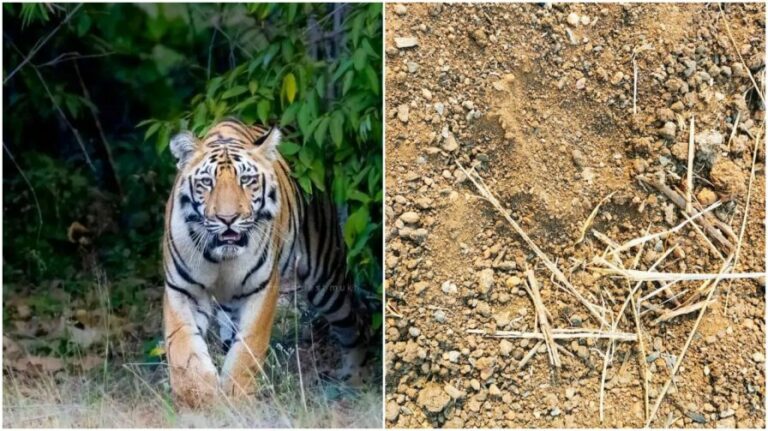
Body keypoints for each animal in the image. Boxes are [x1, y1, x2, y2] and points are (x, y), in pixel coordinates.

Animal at [162, 118, 370, 406]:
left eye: (246, 180)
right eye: (206, 182)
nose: (228, 218)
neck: (221, 258)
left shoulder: (261, 289)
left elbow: (247, 349)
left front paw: (238, 398)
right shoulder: (181, 290)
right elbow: (183, 348)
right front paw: (199, 398)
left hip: (326, 280)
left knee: (356, 323)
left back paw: (355, 379)